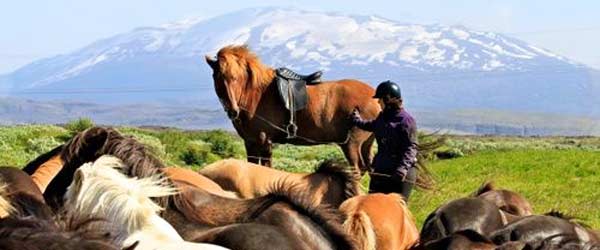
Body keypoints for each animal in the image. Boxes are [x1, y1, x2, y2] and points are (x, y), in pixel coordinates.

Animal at [204, 45, 378, 174]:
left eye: (236, 77)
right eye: (217, 77)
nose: (233, 110)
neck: (255, 94)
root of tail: (374, 95)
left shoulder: (264, 141)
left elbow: (265, 168)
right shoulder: (250, 143)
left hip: (351, 144)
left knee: (357, 170)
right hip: (366, 143)